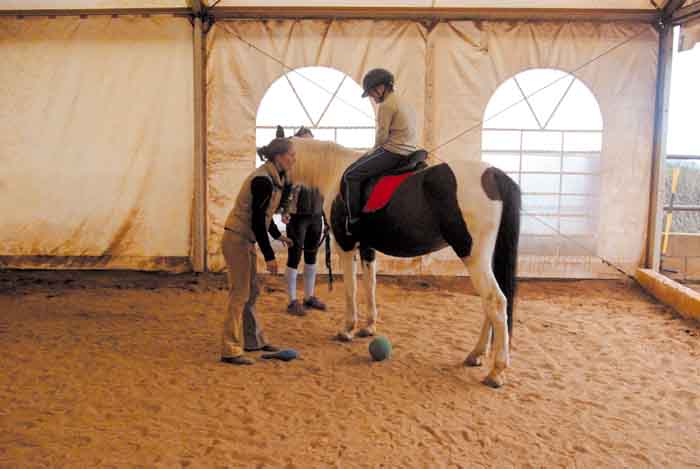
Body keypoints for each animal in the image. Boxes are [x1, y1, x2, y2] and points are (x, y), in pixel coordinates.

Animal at [284, 136, 520, 388]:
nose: (285, 213)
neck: (335, 169)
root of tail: (493, 174)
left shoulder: (345, 247)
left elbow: (351, 289)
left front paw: (347, 329)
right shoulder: (367, 248)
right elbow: (370, 285)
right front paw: (368, 327)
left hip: (474, 257)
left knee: (495, 301)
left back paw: (496, 371)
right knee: (491, 304)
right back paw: (476, 355)